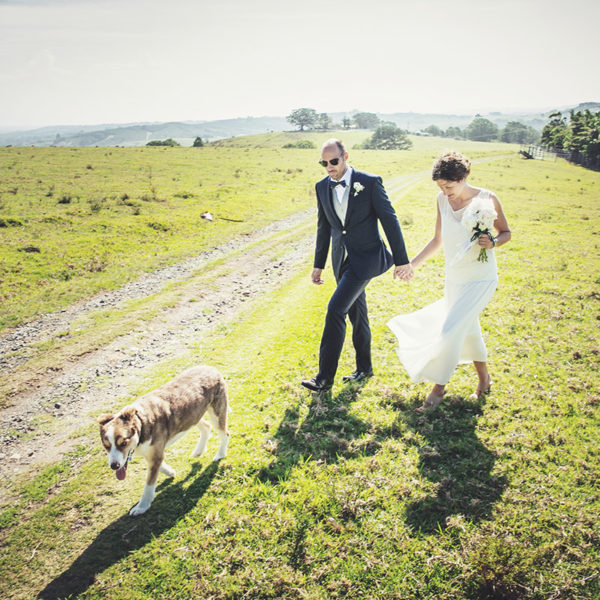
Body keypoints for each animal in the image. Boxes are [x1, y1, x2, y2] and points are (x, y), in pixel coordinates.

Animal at [98, 366, 230, 516]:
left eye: (123, 443)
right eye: (106, 446)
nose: (114, 466)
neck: (141, 424)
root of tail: (211, 368)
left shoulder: (154, 454)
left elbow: (149, 485)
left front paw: (142, 506)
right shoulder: (151, 452)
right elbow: (158, 466)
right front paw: (170, 472)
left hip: (216, 413)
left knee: (225, 434)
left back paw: (220, 454)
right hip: (193, 415)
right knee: (206, 427)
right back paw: (198, 451)